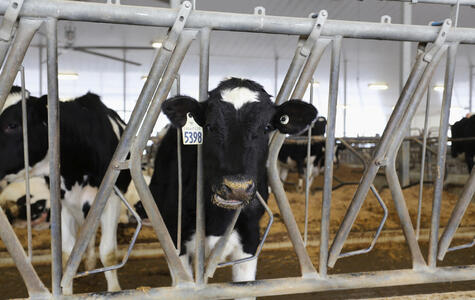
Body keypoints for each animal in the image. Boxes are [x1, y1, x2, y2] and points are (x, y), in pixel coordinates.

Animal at [0, 86, 131, 292]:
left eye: (12, 125)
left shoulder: (111, 197)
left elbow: (108, 252)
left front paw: (115, 291)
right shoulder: (61, 202)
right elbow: (67, 254)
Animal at [151, 77, 318, 298]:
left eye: (267, 127)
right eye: (210, 126)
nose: (237, 187)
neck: (217, 221)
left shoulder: (250, 238)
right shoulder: (175, 240)